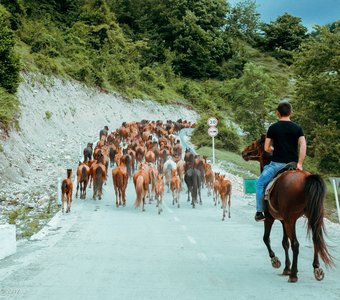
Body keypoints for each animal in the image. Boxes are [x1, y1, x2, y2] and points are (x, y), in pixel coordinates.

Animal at [242, 137, 334, 282]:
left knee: (296, 244)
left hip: (291, 220)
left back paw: (294, 275)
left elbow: (266, 238)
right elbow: (285, 243)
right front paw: (286, 268)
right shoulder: (283, 221)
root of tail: (306, 178)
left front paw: (276, 261)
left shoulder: (270, 218)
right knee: (315, 240)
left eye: (253, 143)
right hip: (311, 217)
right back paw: (316, 269)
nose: (243, 153)